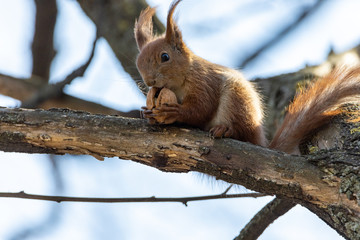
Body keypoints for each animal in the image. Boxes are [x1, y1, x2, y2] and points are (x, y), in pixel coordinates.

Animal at [135, 0, 360, 156]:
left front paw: (174, 112)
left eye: (165, 57)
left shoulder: (204, 82)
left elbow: (201, 108)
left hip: (237, 101)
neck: (181, 79)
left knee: (241, 133)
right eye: (138, 63)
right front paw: (147, 113)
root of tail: (260, 141)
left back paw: (226, 130)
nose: (149, 83)